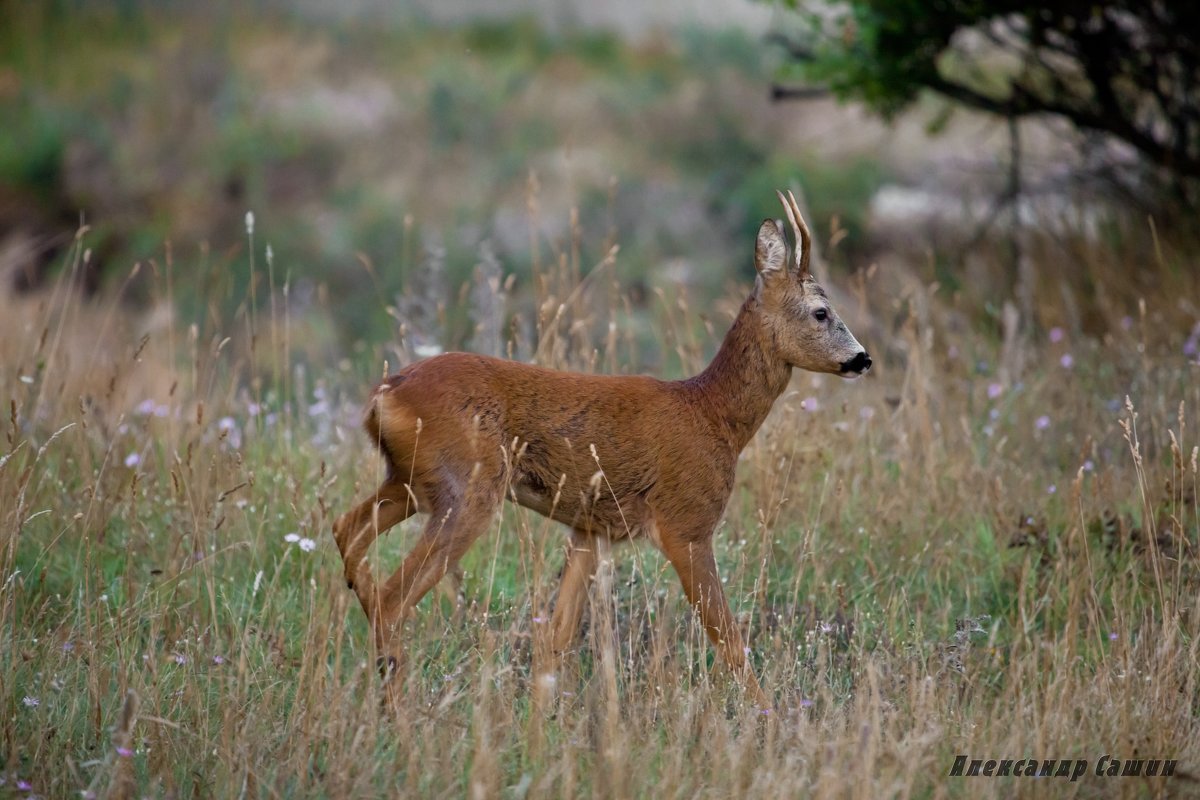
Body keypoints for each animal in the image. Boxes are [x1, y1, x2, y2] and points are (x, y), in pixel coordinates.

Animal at [333, 189, 868, 705]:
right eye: (821, 312)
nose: (862, 359)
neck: (713, 416)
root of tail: (385, 395)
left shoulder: (590, 529)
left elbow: (555, 641)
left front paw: (542, 723)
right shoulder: (687, 524)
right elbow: (731, 642)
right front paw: (767, 717)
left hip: (411, 481)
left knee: (346, 532)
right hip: (467, 490)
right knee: (392, 597)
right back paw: (397, 705)